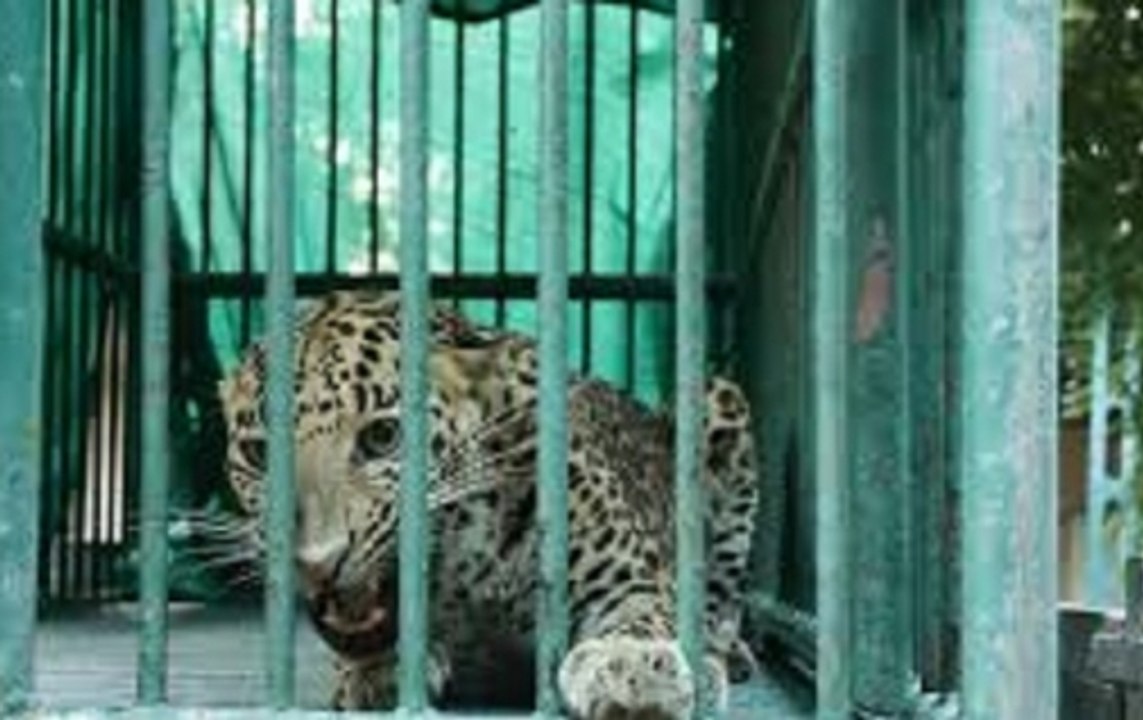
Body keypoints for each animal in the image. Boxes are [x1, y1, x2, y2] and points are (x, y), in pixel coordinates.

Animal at [216, 289, 761, 719]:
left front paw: (636, 669)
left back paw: (717, 659)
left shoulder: (627, 580)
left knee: (722, 598)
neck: (462, 559)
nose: (317, 562)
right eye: (259, 454)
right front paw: (377, 671)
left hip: (718, 398)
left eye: (383, 437)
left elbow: (642, 617)